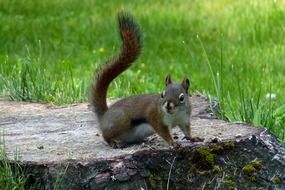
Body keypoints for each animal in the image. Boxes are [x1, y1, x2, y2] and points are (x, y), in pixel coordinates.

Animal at [90, 12, 203, 148]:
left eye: (182, 98)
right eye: (162, 94)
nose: (168, 105)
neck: (175, 114)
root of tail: (104, 116)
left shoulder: (184, 120)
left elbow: (187, 131)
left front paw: (194, 138)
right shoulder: (156, 117)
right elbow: (164, 132)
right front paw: (172, 142)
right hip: (121, 121)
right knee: (105, 135)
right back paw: (112, 142)